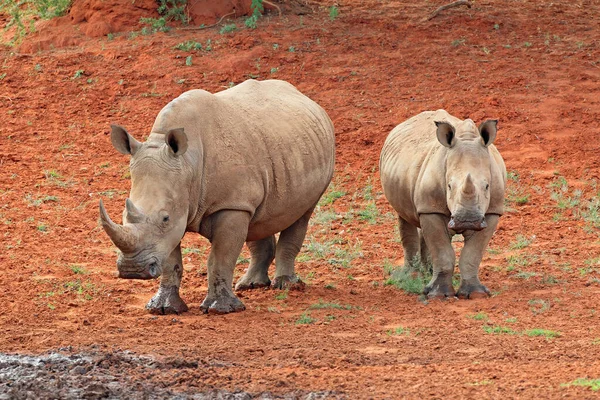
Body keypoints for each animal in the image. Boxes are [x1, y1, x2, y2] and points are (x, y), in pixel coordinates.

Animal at [98, 79, 332, 316]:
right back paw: (251, 285)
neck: (188, 164)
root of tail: (304, 97)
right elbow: (171, 261)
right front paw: (163, 308)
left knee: (302, 214)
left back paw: (286, 285)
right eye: (123, 215)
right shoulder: (182, 209)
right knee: (258, 220)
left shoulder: (229, 205)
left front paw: (221, 309)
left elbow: (220, 258)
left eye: (164, 218)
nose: (132, 270)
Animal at [382, 109, 504, 296]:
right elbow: (442, 251)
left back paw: (428, 273)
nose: (467, 221)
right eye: (449, 186)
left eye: (487, 186)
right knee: (404, 215)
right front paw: (438, 295)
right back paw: (411, 277)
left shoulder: (492, 211)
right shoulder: (432, 208)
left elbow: (472, 255)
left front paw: (475, 294)